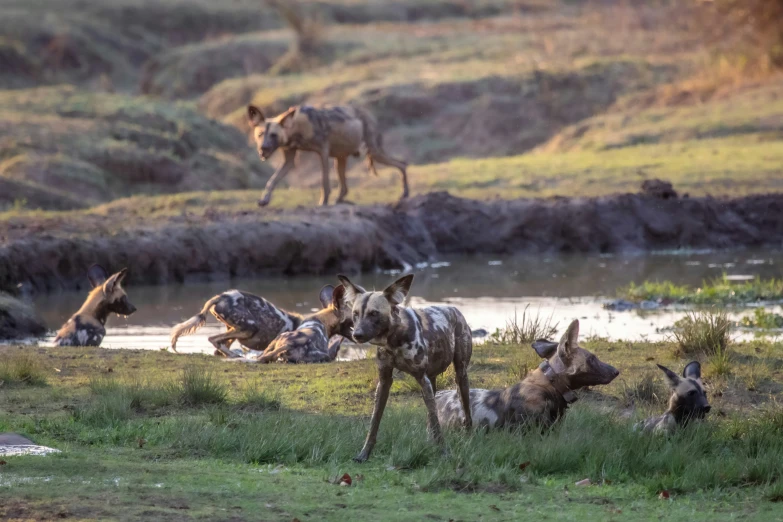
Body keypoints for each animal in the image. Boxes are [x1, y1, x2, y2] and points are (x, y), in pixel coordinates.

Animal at [170, 286, 308, 356]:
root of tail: (222, 296)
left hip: (235, 330)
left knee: (218, 347)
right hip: (249, 328)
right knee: (213, 339)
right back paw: (233, 355)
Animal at [248, 102, 410, 206]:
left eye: (274, 135)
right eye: (260, 134)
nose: (263, 148)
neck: (295, 128)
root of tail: (369, 114)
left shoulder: (323, 153)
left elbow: (324, 182)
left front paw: (323, 203)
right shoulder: (288, 161)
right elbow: (272, 181)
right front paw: (264, 200)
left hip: (375, 153)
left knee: (402, 164)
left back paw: (405, 194)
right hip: (341, 159)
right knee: (344, 187)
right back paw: (339, 201)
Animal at [336, 272, 472, 460]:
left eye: (374, 313)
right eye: (355, 314)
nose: (357, 335)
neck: (393, 340)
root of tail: (455, 310)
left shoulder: (421, 379)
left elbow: (437, 423)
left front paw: (444, 453)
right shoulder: (384, 382)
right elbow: (374, 423)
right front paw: (364, 454)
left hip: (460, 377)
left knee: (465, 413)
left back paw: (469, 437)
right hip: (431, 382)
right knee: (431, 417)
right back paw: (430, 441)